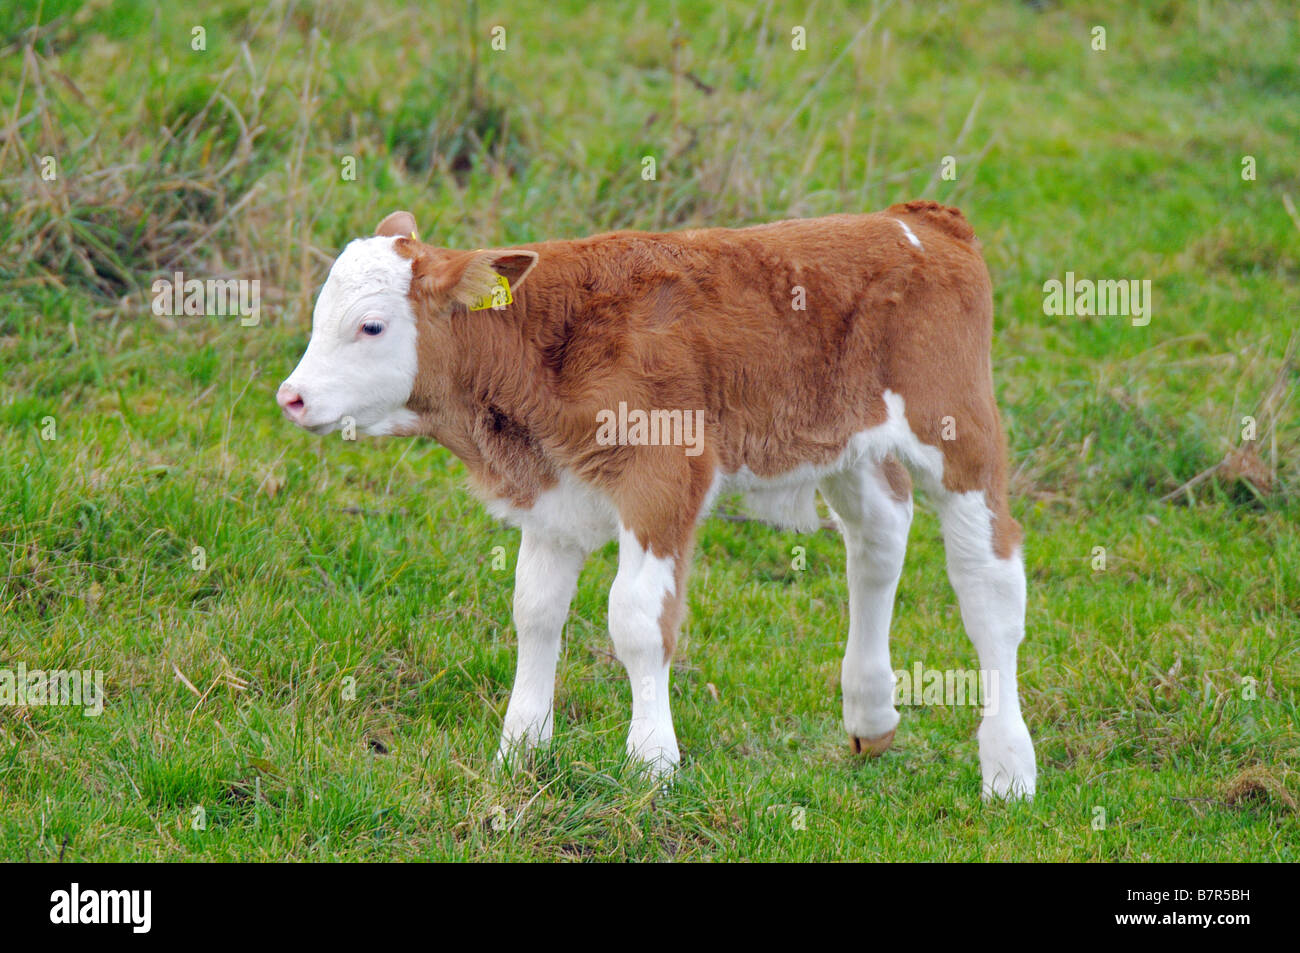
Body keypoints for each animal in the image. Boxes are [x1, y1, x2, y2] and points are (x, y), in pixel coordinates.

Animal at [277, 201, 1037, 799]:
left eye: (372, 326)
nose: (292, 396)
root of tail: (916, 218)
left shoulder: (663, 479)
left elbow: (637, 621)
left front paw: (652, 763)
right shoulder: (554, 499)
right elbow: (534, 611)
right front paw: (519, 749)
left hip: (960, 430)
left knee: (988, 583)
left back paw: (1008, 765)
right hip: (846, 444)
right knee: (878, 539)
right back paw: (871, 714)